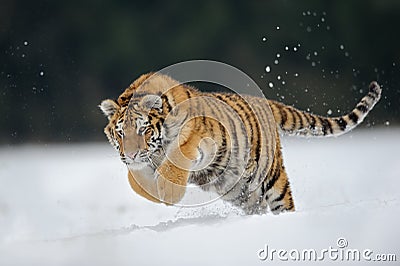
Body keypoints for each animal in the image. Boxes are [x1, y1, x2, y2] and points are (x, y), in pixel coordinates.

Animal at [100, 71, 382, 215]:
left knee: (283, 204)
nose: (131, 155)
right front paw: (154, 190)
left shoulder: (201, 139)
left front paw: (168, 191)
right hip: (240, 191)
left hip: (272, 178)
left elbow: (178, 155)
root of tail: (264, 102)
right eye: (121, 133)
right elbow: (135, 180)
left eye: (143, 129)